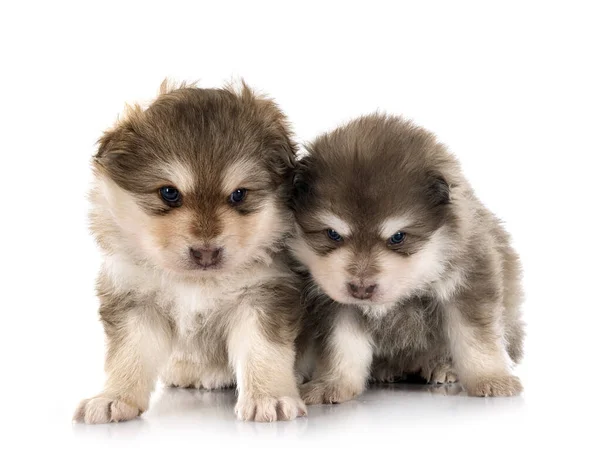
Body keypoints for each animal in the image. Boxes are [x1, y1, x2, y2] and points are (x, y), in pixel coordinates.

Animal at [75, 82, 308, 424]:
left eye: (239, 195)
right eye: (169, 193)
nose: (206, 254)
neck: (196, 283)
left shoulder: (263, 295)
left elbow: (263, 350)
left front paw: (269, 397)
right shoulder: (135, 299)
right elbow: (129, 354)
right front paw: (114, 397)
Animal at [292, 112, 524, 402]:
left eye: (398, 237)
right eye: (333, 234)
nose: (361, 288)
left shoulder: (469, 281)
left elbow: (476, 338)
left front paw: (491, 378)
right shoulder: (335, 306)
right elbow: (342, 347)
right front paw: (333, 384)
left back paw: (443, 367)